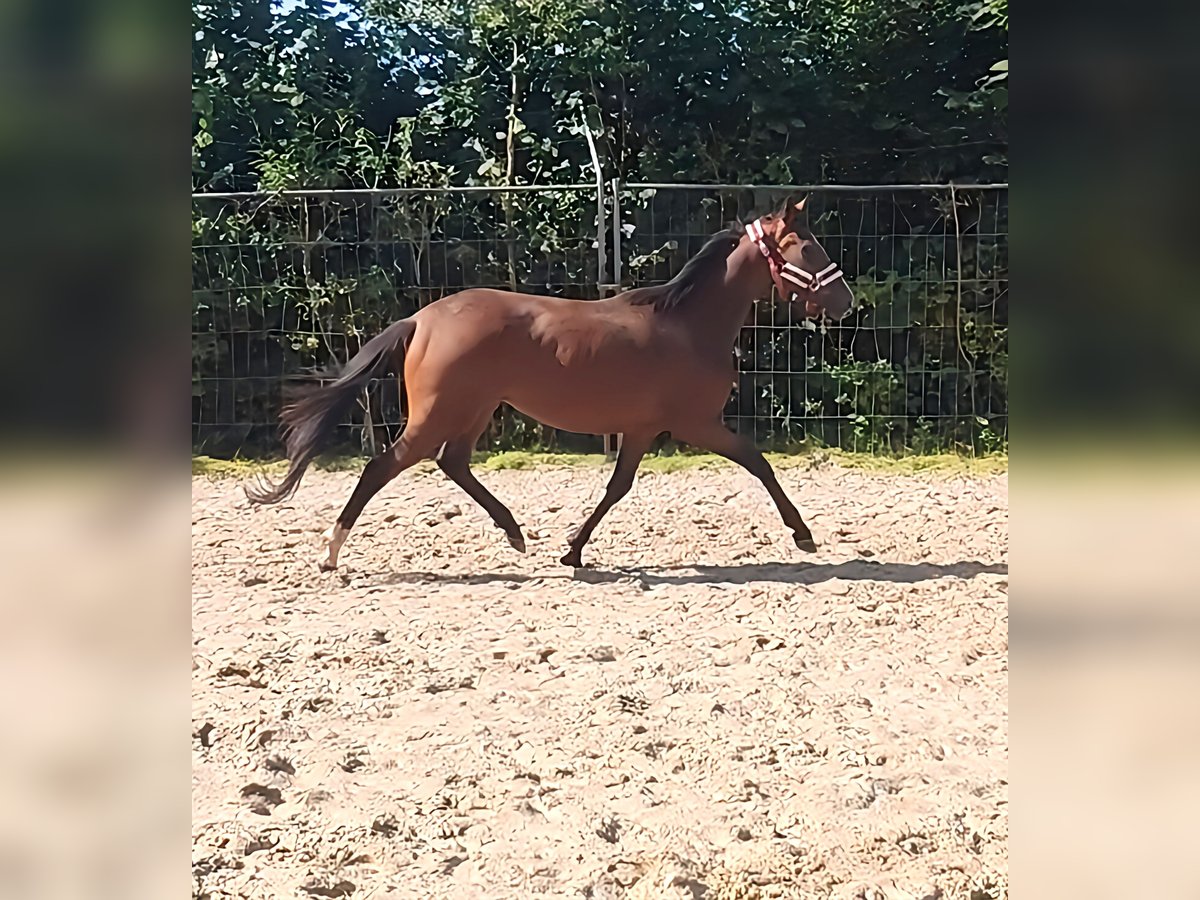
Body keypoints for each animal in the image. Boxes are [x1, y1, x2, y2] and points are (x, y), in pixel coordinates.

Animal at [248, 199, 854, 571]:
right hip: (438, 414)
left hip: (475, 409)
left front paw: (571, 551)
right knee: (382, 467)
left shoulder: (643, 430)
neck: (687, 325)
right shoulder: (696, 423)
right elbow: (758, 463)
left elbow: (617, 488)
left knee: (453, 463)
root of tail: (421, 319)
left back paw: (515, 533)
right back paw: (331, 552)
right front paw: (803, 534)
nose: (846, 302)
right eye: (808, 248)